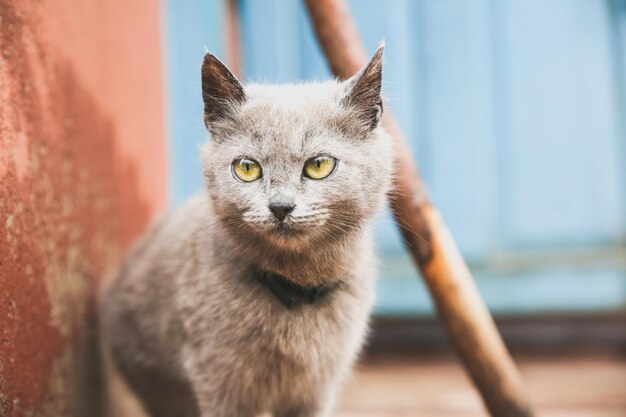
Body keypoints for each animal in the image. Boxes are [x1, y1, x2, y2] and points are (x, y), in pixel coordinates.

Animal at [105, 44, 392, 416]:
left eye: (319, 165)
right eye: (247, 168)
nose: (280, 206)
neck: (296, 287)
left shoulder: (316, 389)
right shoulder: (219, 381)